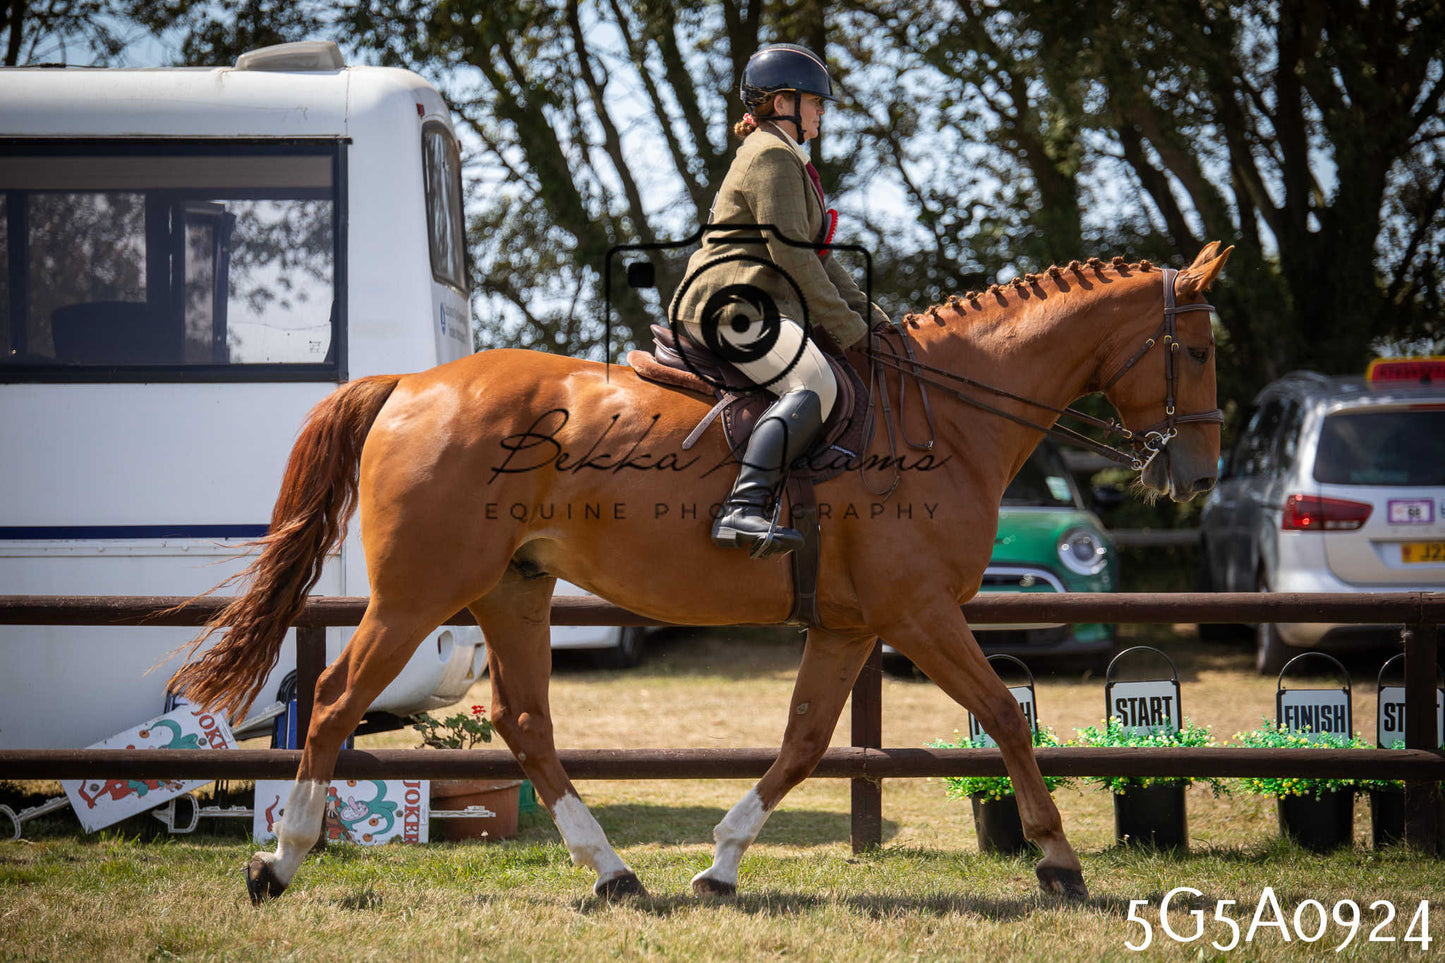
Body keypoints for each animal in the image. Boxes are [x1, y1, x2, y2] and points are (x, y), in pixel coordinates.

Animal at [171, 242, 1232, 905]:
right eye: (1197, 347)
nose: (1196, 475)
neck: (950, 416)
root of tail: (412, 387)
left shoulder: (851, 625)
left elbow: (805, 741)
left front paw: (720, 865)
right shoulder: (919, 612)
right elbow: (1009, 716)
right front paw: (1058, 861)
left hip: (512, 587)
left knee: (522, 721)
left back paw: (610, 871)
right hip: (415, 595)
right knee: (336, 701)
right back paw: (280, 861)